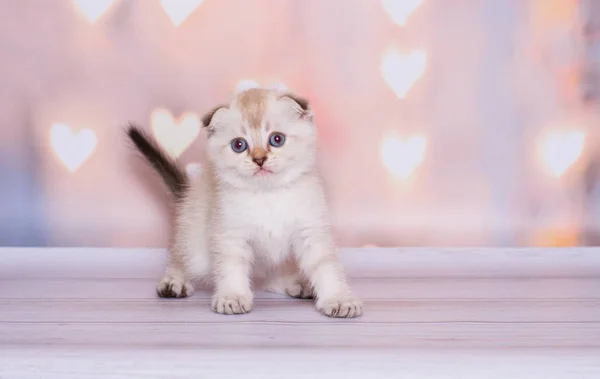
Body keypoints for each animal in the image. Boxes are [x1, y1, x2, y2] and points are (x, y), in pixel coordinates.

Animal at [127, 88, 360, 318]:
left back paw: (298, 285)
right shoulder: (231, 234)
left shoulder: (311, 230)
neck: (268, 195)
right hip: (196, 247)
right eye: (239, 145)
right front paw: (233, 297)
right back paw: (173, 282)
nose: (259, 159)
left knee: (272, 278)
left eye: (277, 139)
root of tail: (191, 192)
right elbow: (231, 266)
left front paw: (339, 299)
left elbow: (326, 265)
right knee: (180, 257)